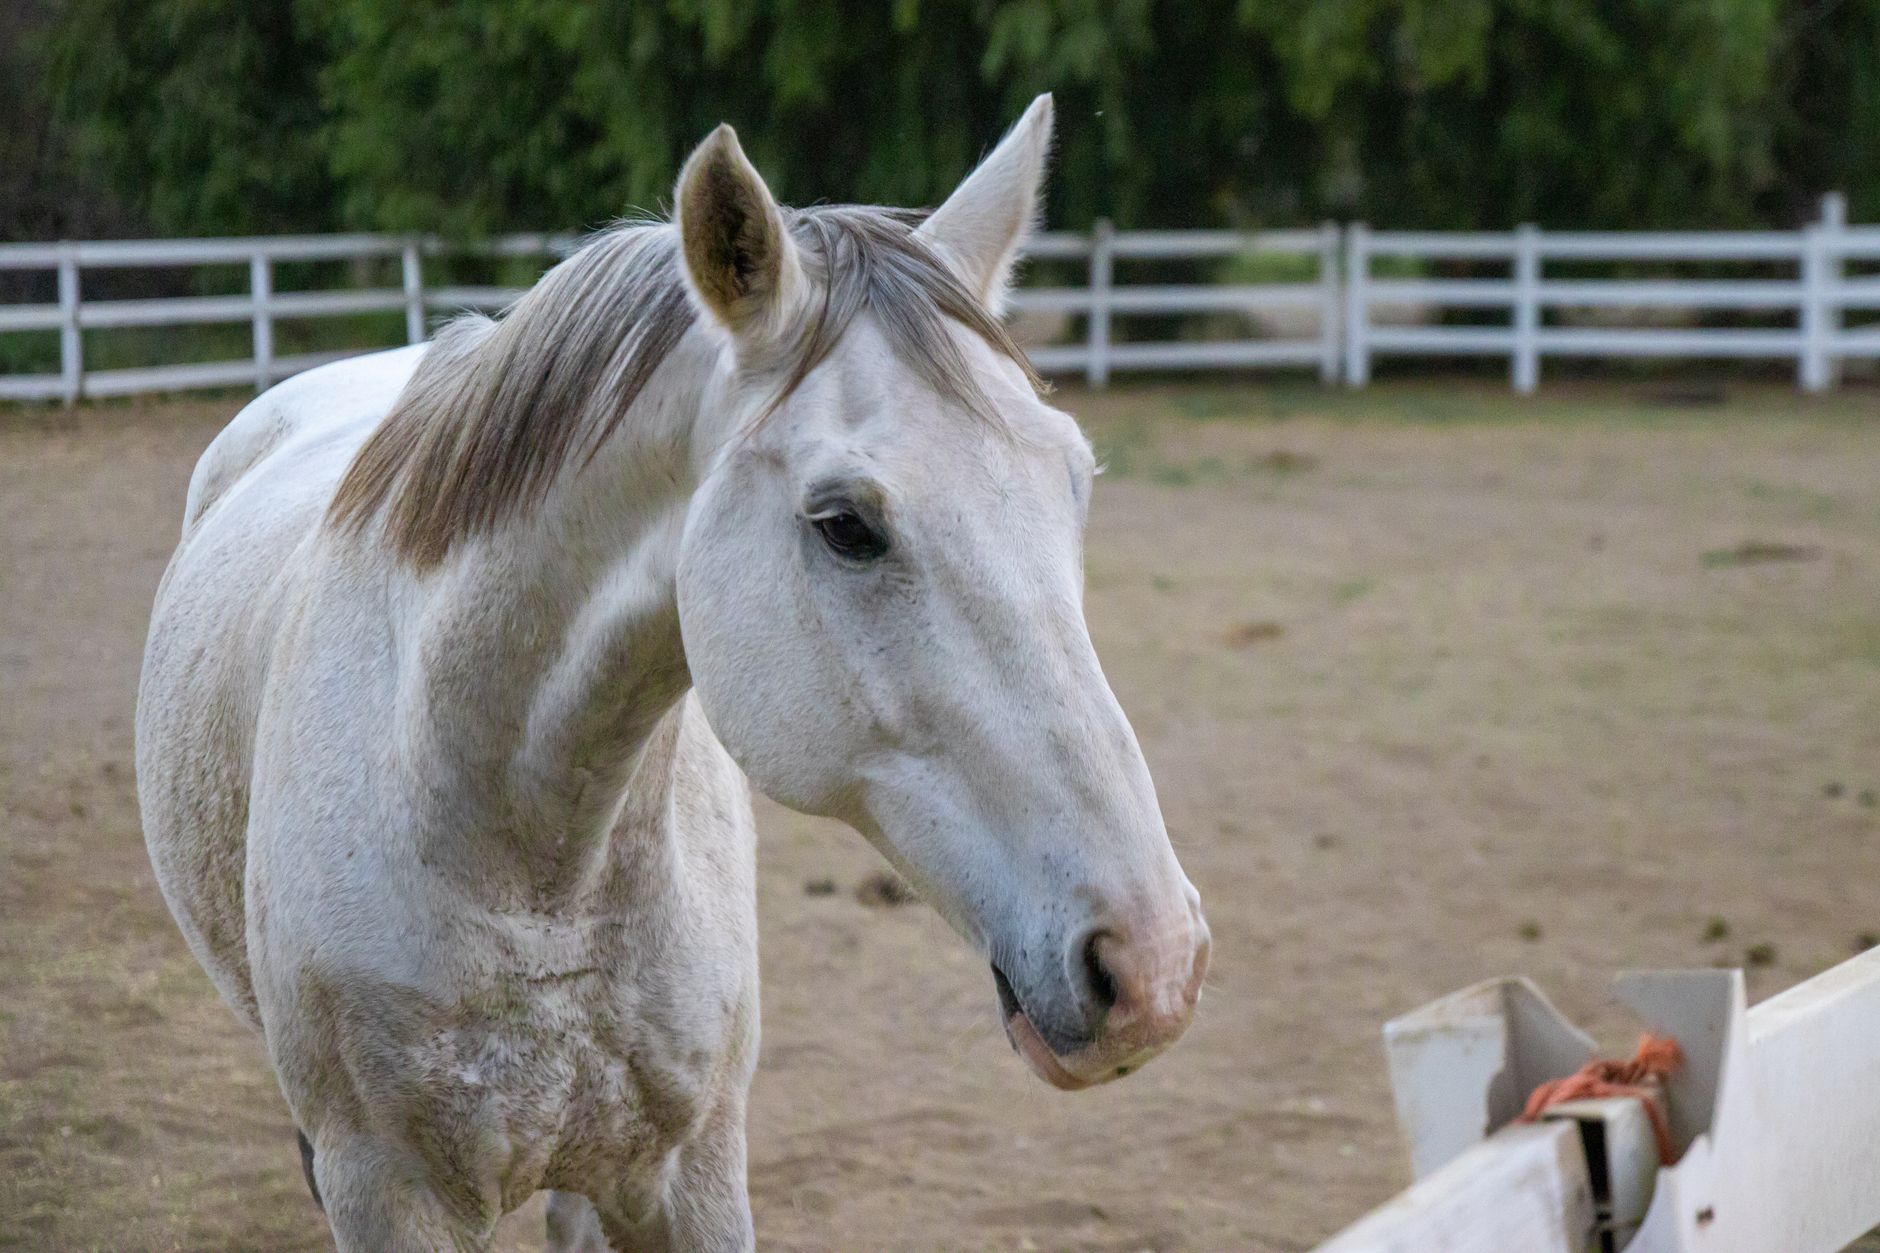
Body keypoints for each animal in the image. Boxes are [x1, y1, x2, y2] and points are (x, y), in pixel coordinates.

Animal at [134, 95, 1210, 1251]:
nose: (1154, 964)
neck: (527, 858)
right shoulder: (390, 1191)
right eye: (845, 524)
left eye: (1074, 480)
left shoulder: (691, 1170)